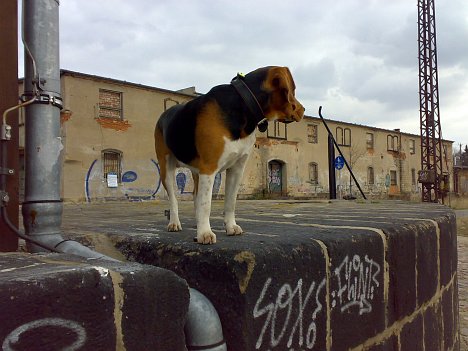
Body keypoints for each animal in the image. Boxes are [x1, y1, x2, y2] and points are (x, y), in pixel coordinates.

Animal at [155, 66, 306, 245]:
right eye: (293, 90)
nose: (303, 110)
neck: (244, 105)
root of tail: (163, 115)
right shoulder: (209, 168)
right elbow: (206, 204)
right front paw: (205, 233)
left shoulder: (236, 169)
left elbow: (230, 202)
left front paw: (230, 227)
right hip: (166, 169)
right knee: (173, 199)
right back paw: (174, 223)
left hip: (196, 171)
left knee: (195, 196)